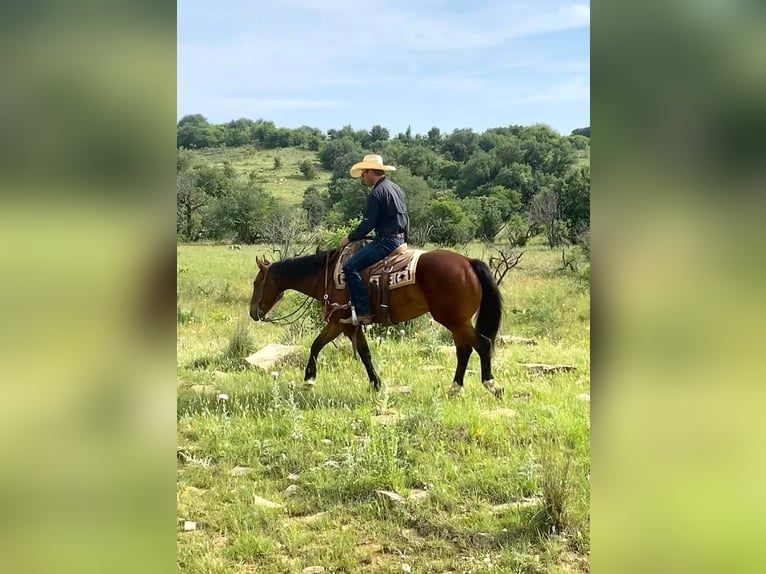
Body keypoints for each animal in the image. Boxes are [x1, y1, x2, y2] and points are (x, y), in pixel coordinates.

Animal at [249, 245, 508, 398]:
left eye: (257, 283)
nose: (253, 313)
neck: (326, 275)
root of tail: (468, 262)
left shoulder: (341, 323)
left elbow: (319, 346)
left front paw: (309, 381)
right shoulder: (346, 325)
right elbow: (361, 353)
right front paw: (376, 384)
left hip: (455, 321)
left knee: (482, 344)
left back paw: (492, 385)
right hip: (457, 322)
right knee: (464, 350)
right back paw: (455, 388)